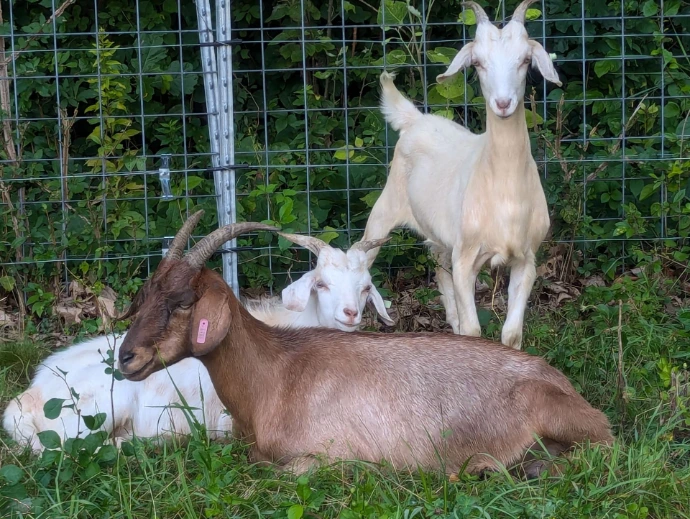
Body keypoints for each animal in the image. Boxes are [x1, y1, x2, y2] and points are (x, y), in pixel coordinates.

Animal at [117, 211, 613, 477]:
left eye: (183, 301)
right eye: (145, 295)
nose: (126, 357)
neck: (276, 373)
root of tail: (564, 385)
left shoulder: (328, 455)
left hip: (556, 414)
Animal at [361, 0, 562, 349]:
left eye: (525, 60)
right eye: (477, 62)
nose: (503, 103)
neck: (504, 194)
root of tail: (416, 119)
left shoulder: (527, 258)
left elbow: (511, 334)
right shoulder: (466, 256)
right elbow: (472, 330)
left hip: (442, 241)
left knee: (441, 275)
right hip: (384, 210)